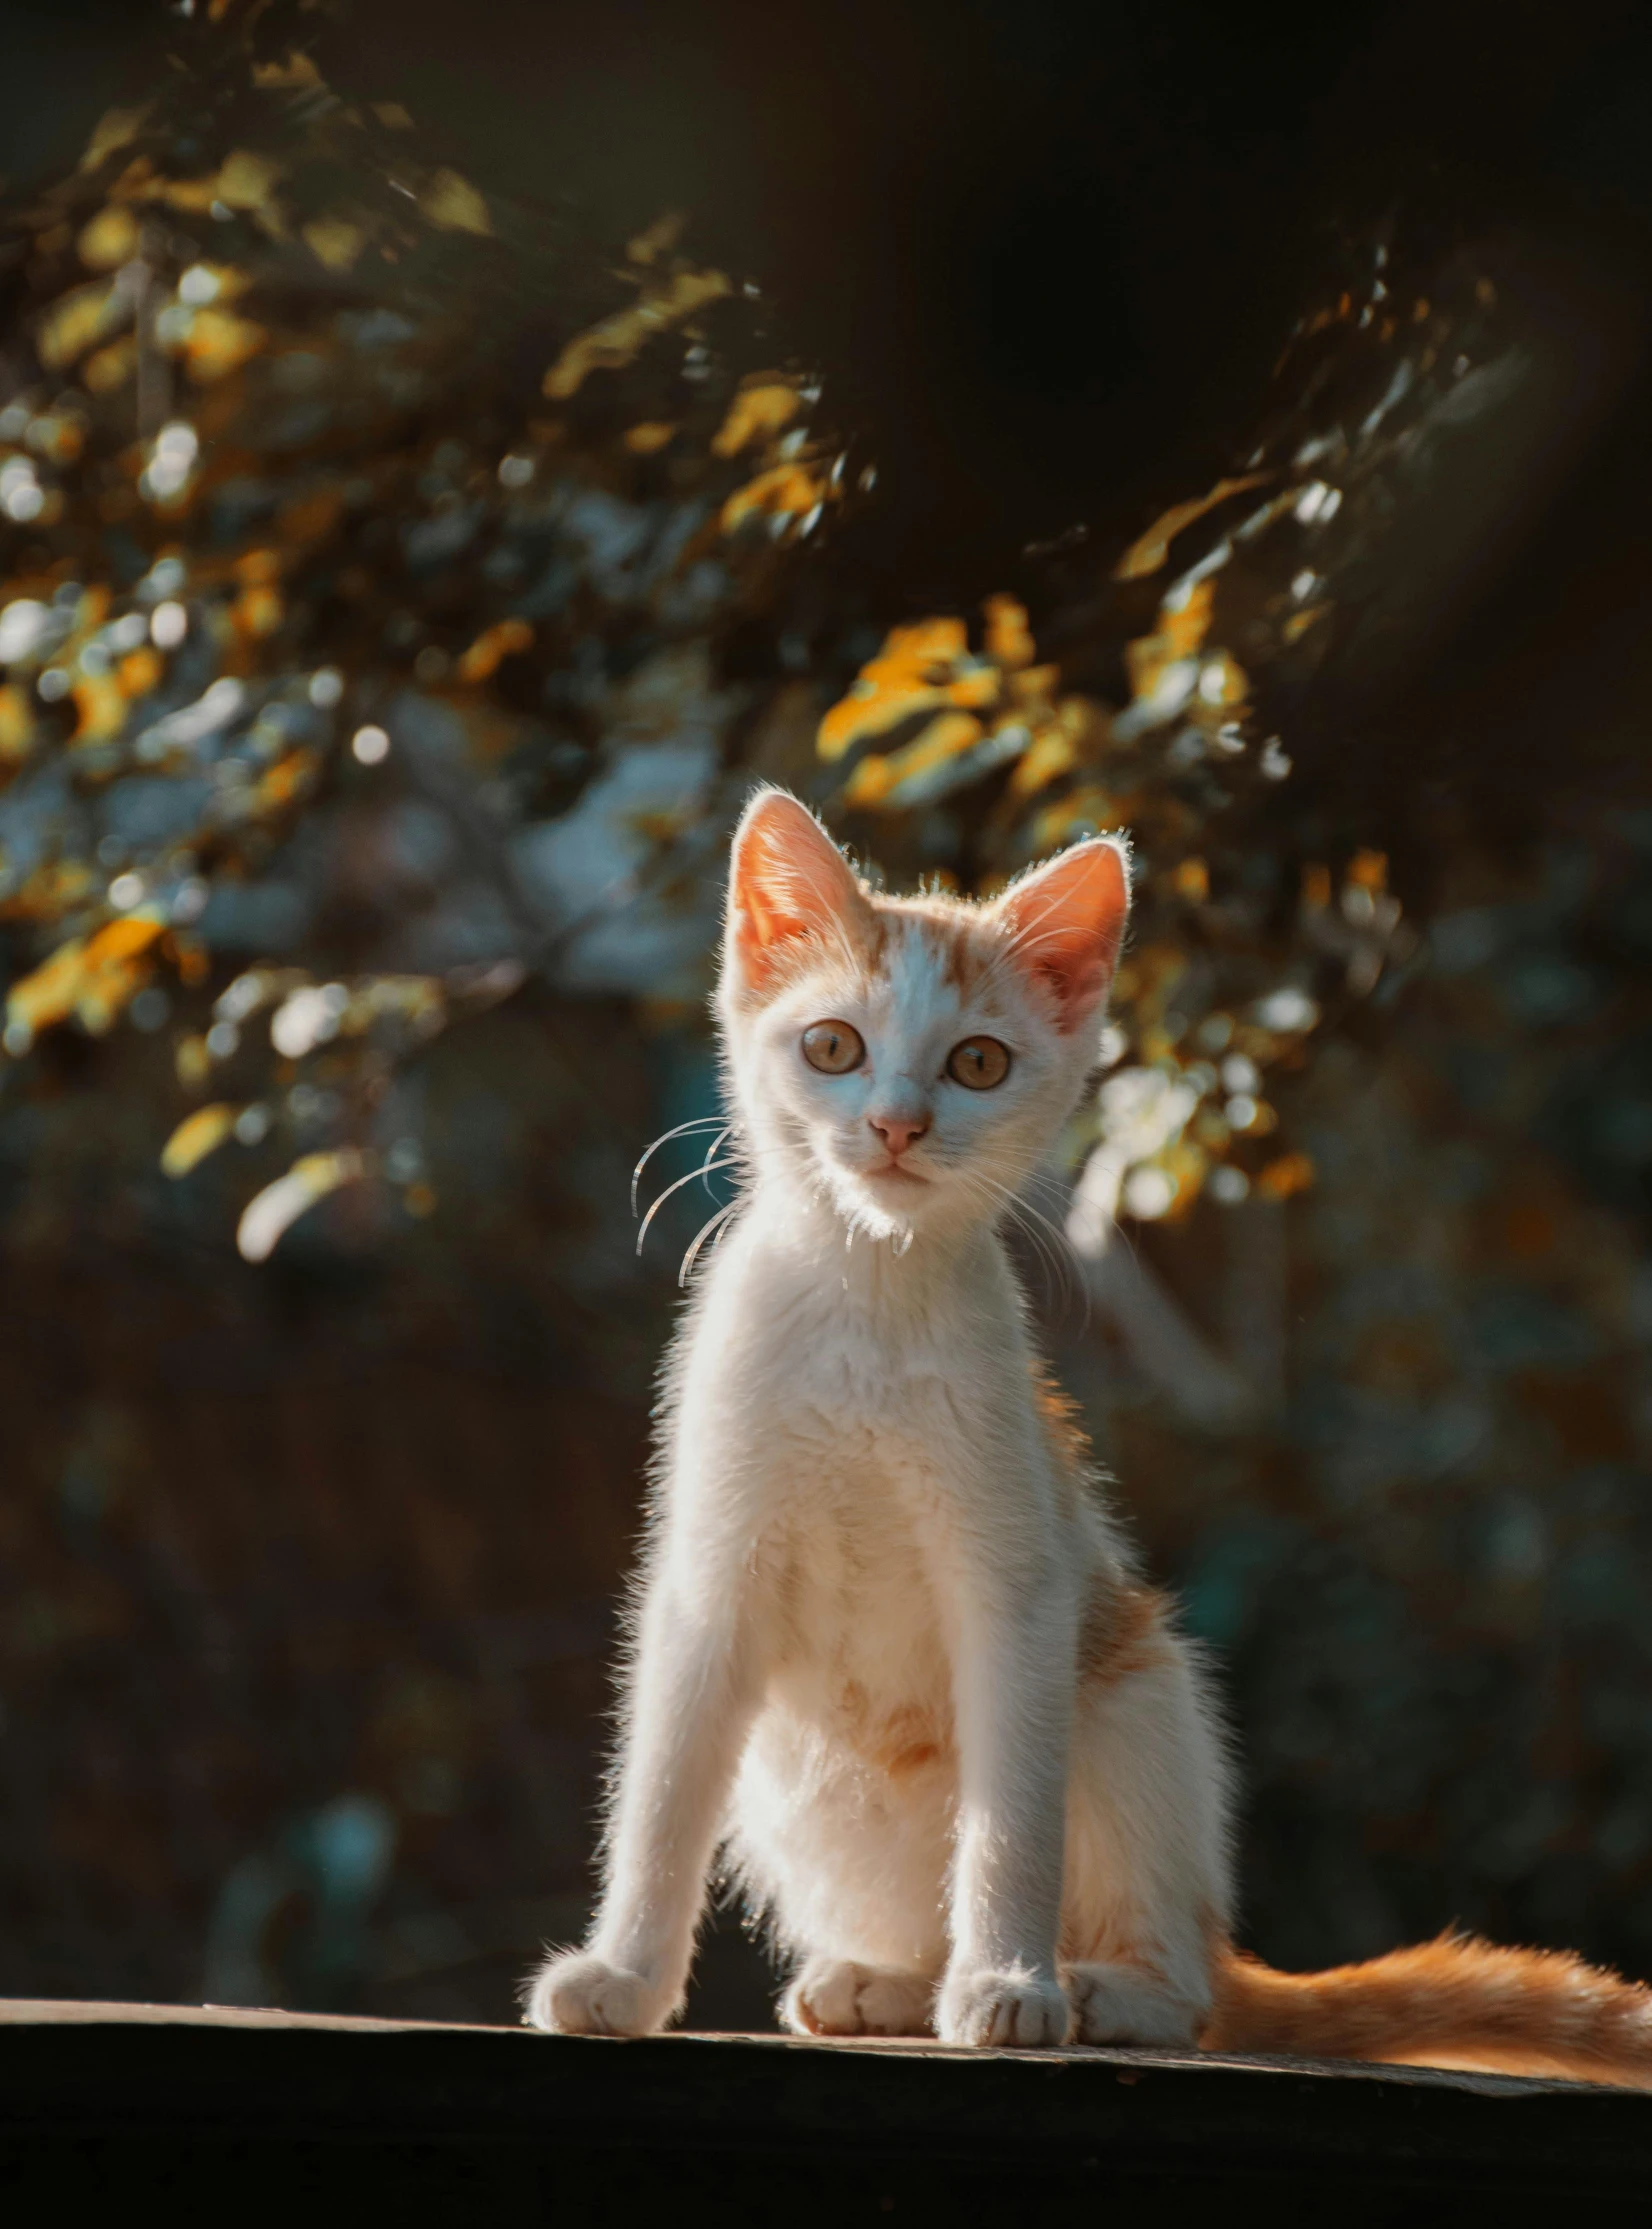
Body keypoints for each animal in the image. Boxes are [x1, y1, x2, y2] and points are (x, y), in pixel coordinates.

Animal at [521, 784, 1649, 2068]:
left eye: (975, 1063)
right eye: (831, 1046)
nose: (898, 1126)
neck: (868, 1296)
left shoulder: (1018, 1587)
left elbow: (1012, 1816)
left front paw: (1009, 1981)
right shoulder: (708, 1578)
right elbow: (660, 1796)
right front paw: (623, 1974)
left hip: (1134, 1688)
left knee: (1194, 1997)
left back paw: (1101, 1990)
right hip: (798, 1778)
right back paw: (890, 1981)